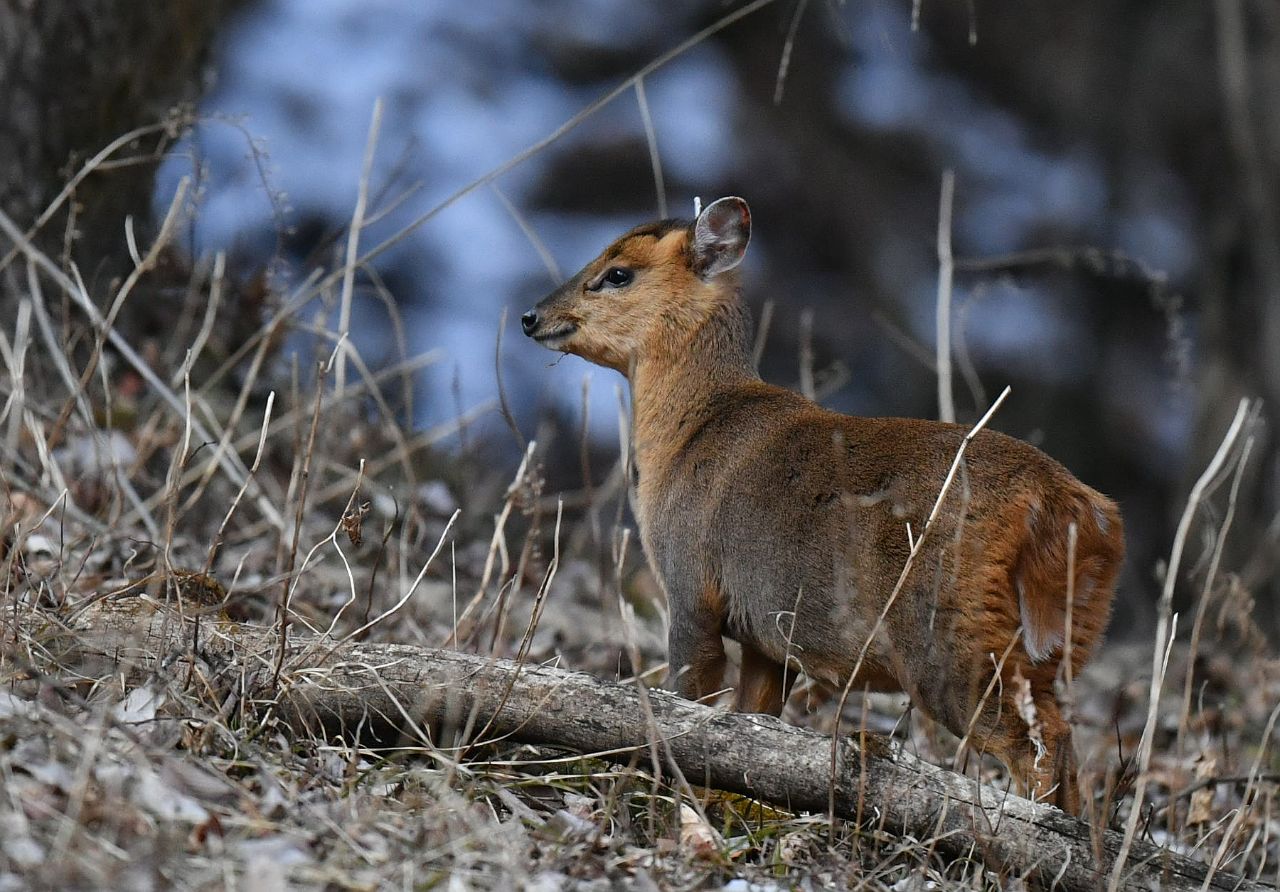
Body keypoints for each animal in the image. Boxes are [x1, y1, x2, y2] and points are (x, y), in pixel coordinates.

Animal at [517, 197, 1121, 813]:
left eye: (618, 272)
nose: (531, 317)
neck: (689, 432)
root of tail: (1072, 509)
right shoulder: (766, 635)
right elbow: (751, 719)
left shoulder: (691, 583)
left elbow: (688, 700)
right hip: (1061, 641)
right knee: (1065, 739)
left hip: (952, 635)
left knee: (1035, 742)